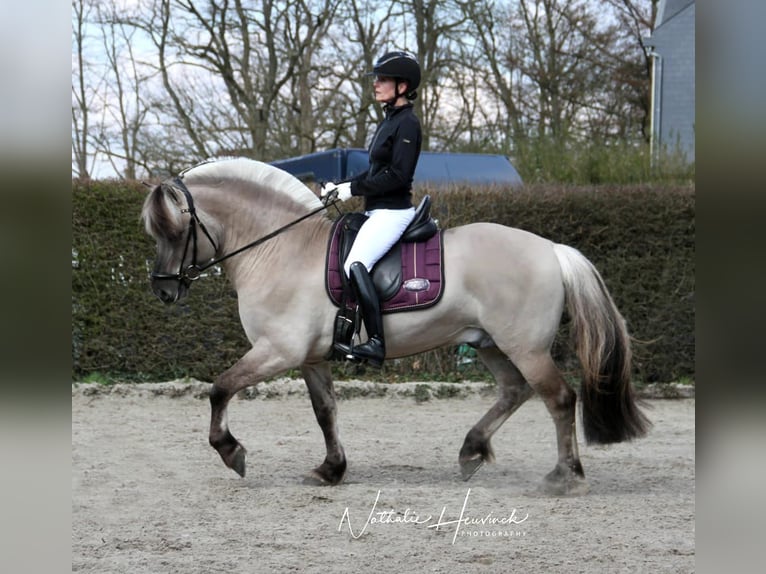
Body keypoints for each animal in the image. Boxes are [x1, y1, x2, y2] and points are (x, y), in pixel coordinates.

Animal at [141, 157, 650, 495]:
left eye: (174, 231)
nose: (163, 291)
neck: (280, 248)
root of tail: (552, 249)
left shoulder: (277, 350)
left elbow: (220, 388)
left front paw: (231, 451)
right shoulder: (308, 358)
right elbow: (325, 411)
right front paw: (331, 469)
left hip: (524, 347)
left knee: (559, 399)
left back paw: (564, 477)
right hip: (490, 343)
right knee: (514, 391)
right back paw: (471, 450)